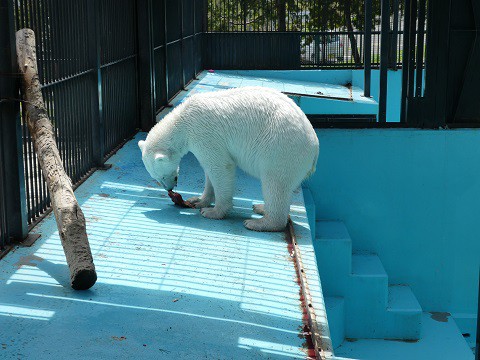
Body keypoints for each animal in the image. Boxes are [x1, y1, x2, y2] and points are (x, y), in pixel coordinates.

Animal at [139, 86, 318, 232]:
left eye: (162, 176)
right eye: (156, 178)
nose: (169, 189)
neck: (182, 120)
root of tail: (315, 147)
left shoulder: (204, 133)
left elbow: (220, 167)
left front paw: (212, 212)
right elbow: (208, 171)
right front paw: (198, 200)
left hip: (280, 148)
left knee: (275, 184)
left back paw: (258, 222)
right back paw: (260, 207)